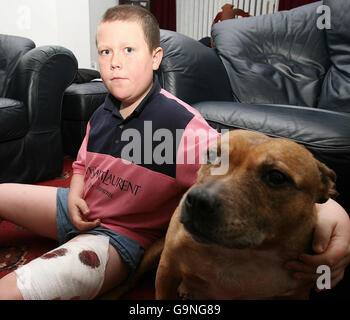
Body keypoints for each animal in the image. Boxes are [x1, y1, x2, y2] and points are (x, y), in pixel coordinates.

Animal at [100, 130, 336, 300]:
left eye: (277, 177)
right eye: (212, 155)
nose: (198, 201)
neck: (240, 256)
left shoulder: (296, 293)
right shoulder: (167, 269)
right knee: (131, 280)